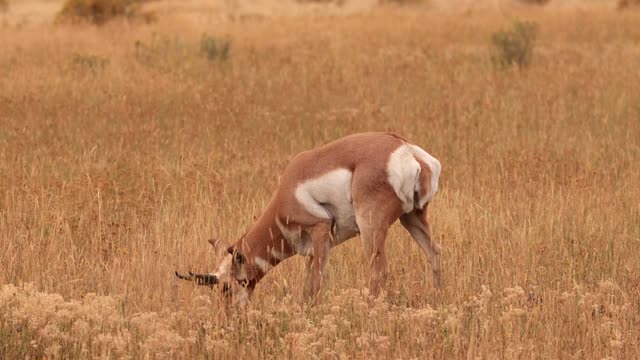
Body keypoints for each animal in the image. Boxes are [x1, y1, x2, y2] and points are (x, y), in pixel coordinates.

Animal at [178, 131, 442, 306]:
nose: (231, 315)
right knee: (434, 253)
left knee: (379, 270)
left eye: (225, 286)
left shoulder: (320, 232)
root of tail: (408, 151)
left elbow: (316, 280)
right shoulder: (313, 250)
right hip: (412, 217)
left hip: (371, 228)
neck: (288, 190)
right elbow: (308, 285)